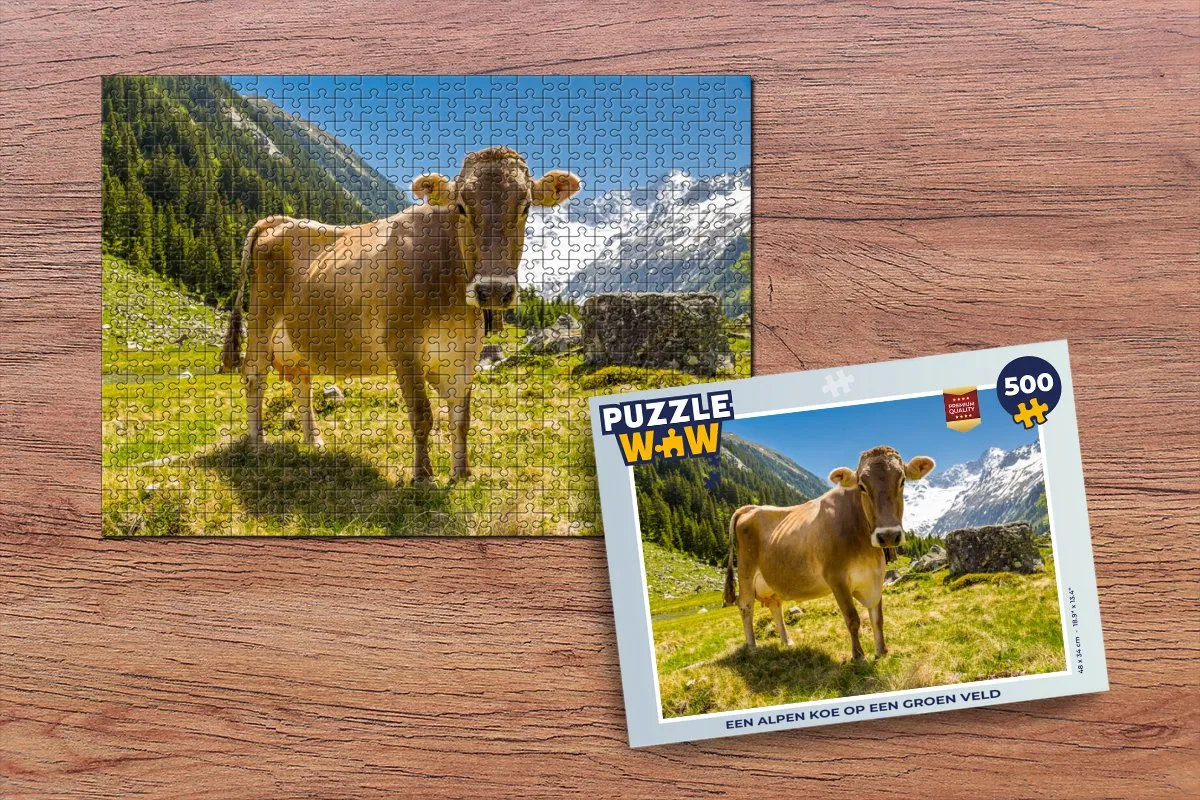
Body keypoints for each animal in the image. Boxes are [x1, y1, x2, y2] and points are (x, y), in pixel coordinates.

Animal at [219, 146, 581, 482]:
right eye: (461, 207)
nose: (493, 290)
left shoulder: (465, 355)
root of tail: (280, 220)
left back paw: (314, 441)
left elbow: (460, 418)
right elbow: (422, 415)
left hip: (297, 337)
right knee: (254, 376)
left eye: (525, 206)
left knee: (301, 381)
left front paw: (461, 473)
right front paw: (422, 475)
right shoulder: (403, 347)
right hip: (262, 319)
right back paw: (258, 443)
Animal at [722, 446, 935, 660]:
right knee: (746, 606)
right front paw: (858, 655)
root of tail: (751, 508)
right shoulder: (836, 578)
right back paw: (752, 647)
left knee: (775, 605)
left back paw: (787, 641)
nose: (888, 535)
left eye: (902, 481)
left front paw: (882, 651)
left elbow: (877, 617)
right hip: (746, 571)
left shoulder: (875, 577)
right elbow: (852, 618)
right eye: (861, 486)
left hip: (770, 579)